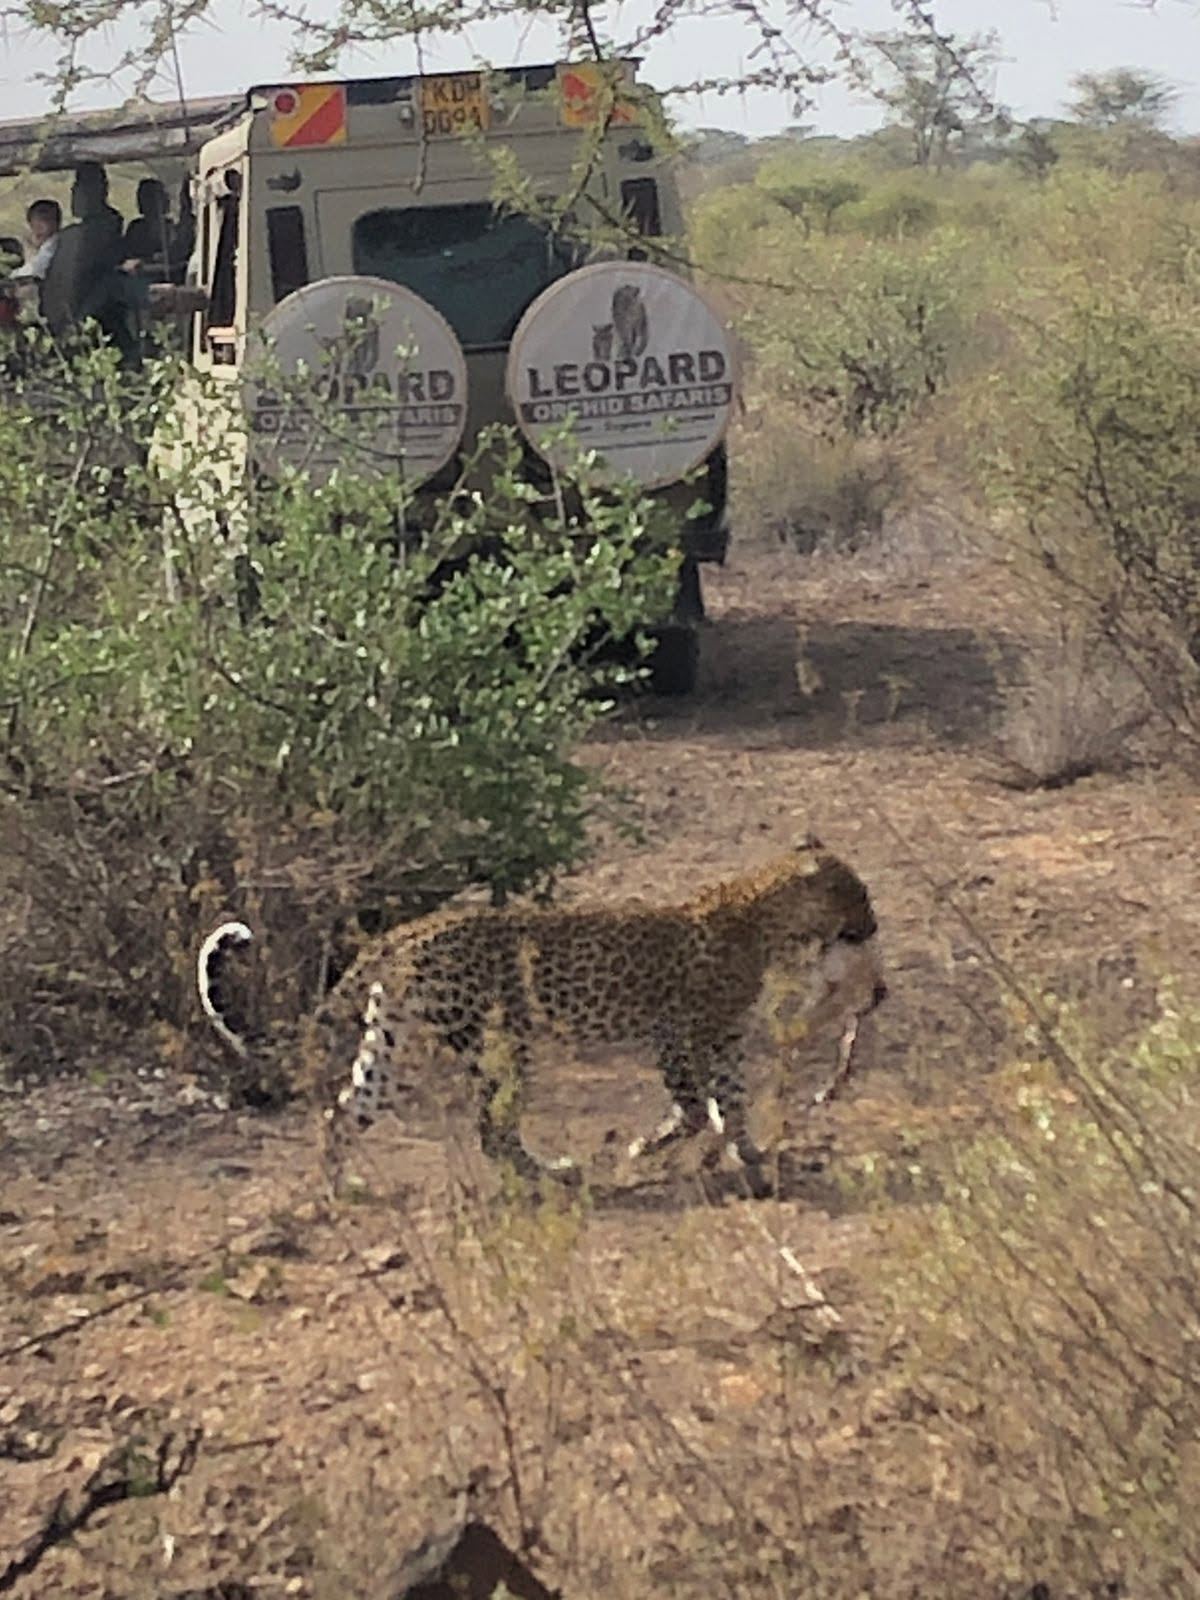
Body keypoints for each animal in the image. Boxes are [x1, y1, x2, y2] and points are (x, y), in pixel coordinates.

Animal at [197, 836, 887, 1199]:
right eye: (859, 893)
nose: (875, 923)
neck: (766, 918)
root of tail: (408, 931)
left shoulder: (724, 1042)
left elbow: (732, 1103)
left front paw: (749, 1155)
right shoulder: (676, 1033)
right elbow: (694, 1106)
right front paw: (649, 1146)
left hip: (393, 1043)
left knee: (344, 1110)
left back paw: (339, 1188)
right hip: (499, 1043)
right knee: (490, 1128)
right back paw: (553, 1175)